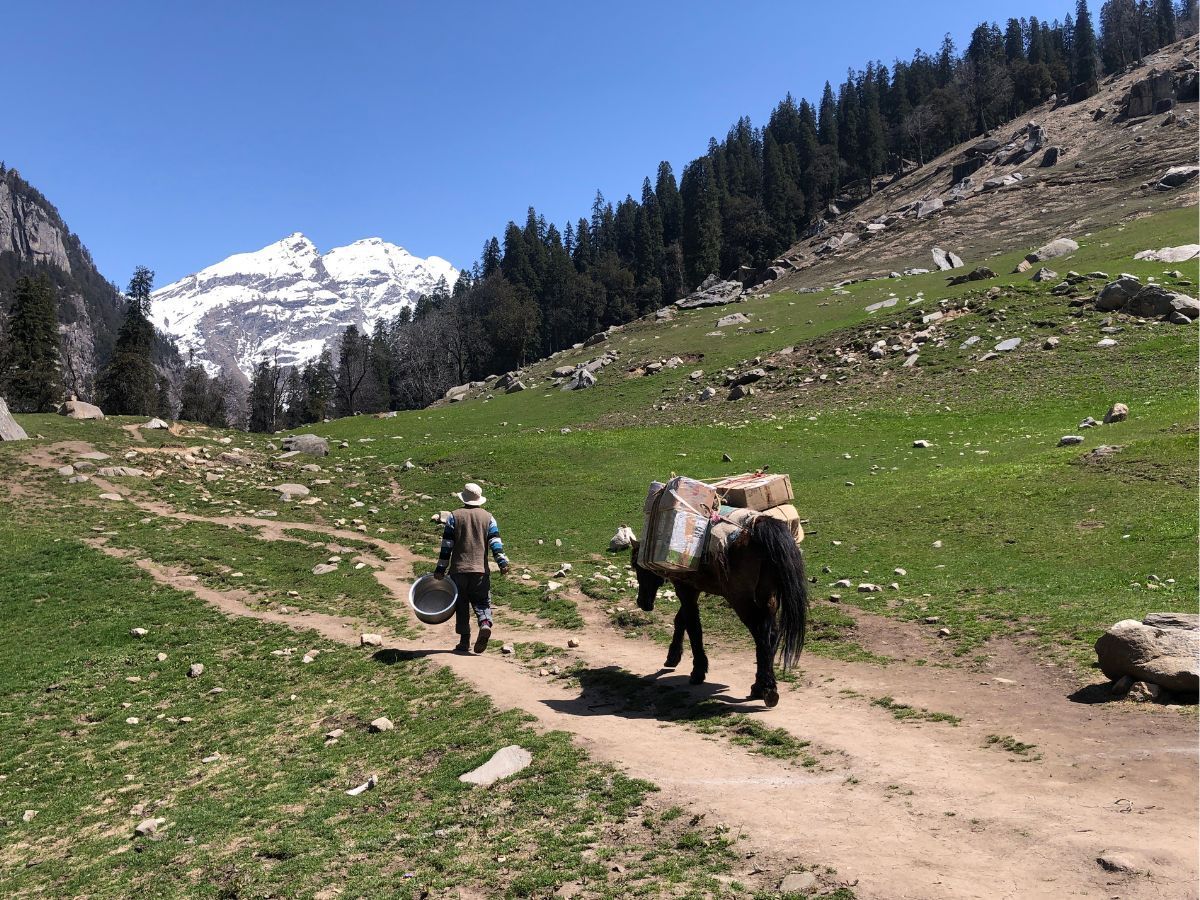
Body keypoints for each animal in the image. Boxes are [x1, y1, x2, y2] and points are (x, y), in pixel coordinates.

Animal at [633, 475, 811, 710]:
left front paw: (698, 671)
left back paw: (767, 690)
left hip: (741, 600)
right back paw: (760, 685)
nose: (642, 603)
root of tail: (761, 526)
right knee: (771, 634)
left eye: (636, 566)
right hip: (768, 597)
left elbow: (693, 626)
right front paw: (673, 657)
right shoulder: (692, 588)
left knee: (761, 634)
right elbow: (682, 619)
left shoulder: (685, 587)